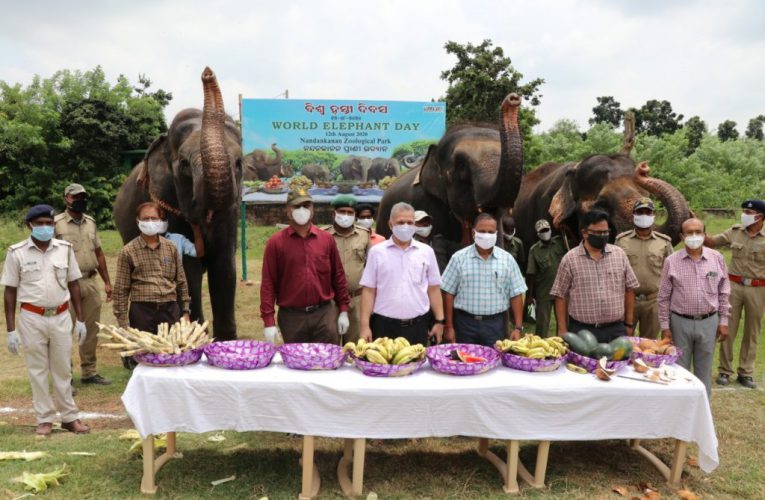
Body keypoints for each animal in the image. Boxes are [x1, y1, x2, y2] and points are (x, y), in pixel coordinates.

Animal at [110, 66, 240, 340]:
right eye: (184, 165)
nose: (207, 73)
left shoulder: (230, 214)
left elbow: (224, 267)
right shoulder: (167, 203)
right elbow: (187, 270)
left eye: (238, 163)